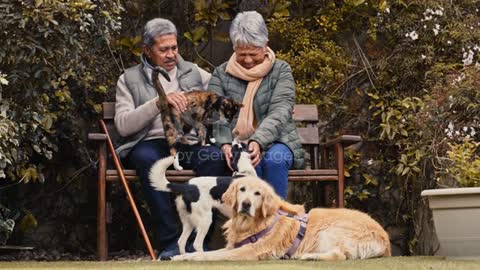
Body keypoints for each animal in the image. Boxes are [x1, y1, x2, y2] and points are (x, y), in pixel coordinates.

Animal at [172, 176, 390, 260]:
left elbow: (209, 255)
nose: (246, 204)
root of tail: (386, 240)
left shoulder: (251, 250)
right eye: (242, 189)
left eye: (258, 194)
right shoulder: (233, 246)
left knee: (340, 254)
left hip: (330, 230)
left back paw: (310, 256)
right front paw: (181, 256)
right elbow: (205, 252)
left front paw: (190, 258)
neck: (250, 225)